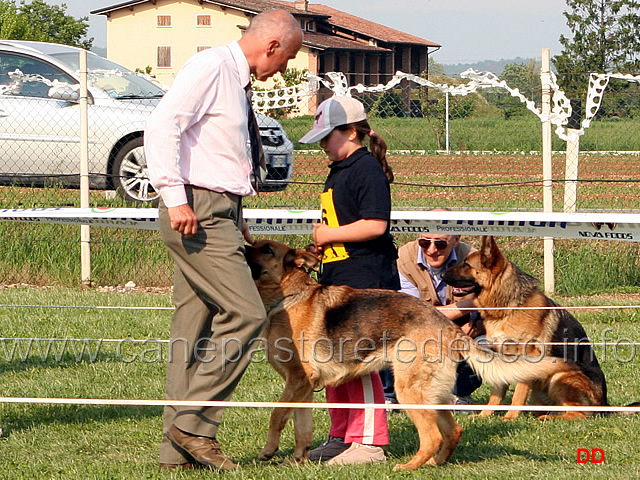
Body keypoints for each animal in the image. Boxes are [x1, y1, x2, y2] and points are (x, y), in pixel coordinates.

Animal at [244, 240, 568, 468]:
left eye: (266, 250)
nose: (243, 245)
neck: (289, 296)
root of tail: (449, 327)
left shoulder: (298, 380)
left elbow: (276, 415)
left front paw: (268, 451)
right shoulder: (304, 386)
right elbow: (302, 427)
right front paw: (297, 459)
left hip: (408, 389)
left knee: (432, 435)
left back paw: (409, 466)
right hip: (432, 394)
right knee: (453, 430)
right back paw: (436, 463)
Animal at [442, 236, 608, 420]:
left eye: (466, 264)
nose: (441, 274)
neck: (509, 308)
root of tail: (605, 406)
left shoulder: (529, 357)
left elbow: (519, 393)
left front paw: (509, 418)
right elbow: (496, 393)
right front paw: (485, 415)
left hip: (560, 375)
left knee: (578, 414)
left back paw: (547, 418)